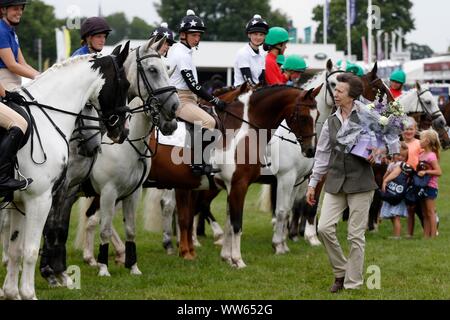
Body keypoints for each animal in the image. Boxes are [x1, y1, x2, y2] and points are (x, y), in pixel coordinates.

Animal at [0, 48, 130, 300]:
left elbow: (15, 249)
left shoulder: (18, 202)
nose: (123, 131)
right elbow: (30, 250)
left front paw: (11, 292)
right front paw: (28, 293)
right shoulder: (40, 199)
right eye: (126, 84)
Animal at [144, 84, 320, 264]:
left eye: (317, 116)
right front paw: (240, 259)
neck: (242, 129)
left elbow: (230, 221)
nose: (311, 150)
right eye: (303, 117)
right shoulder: (248, 183)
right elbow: (240, 222)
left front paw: (227, 257)